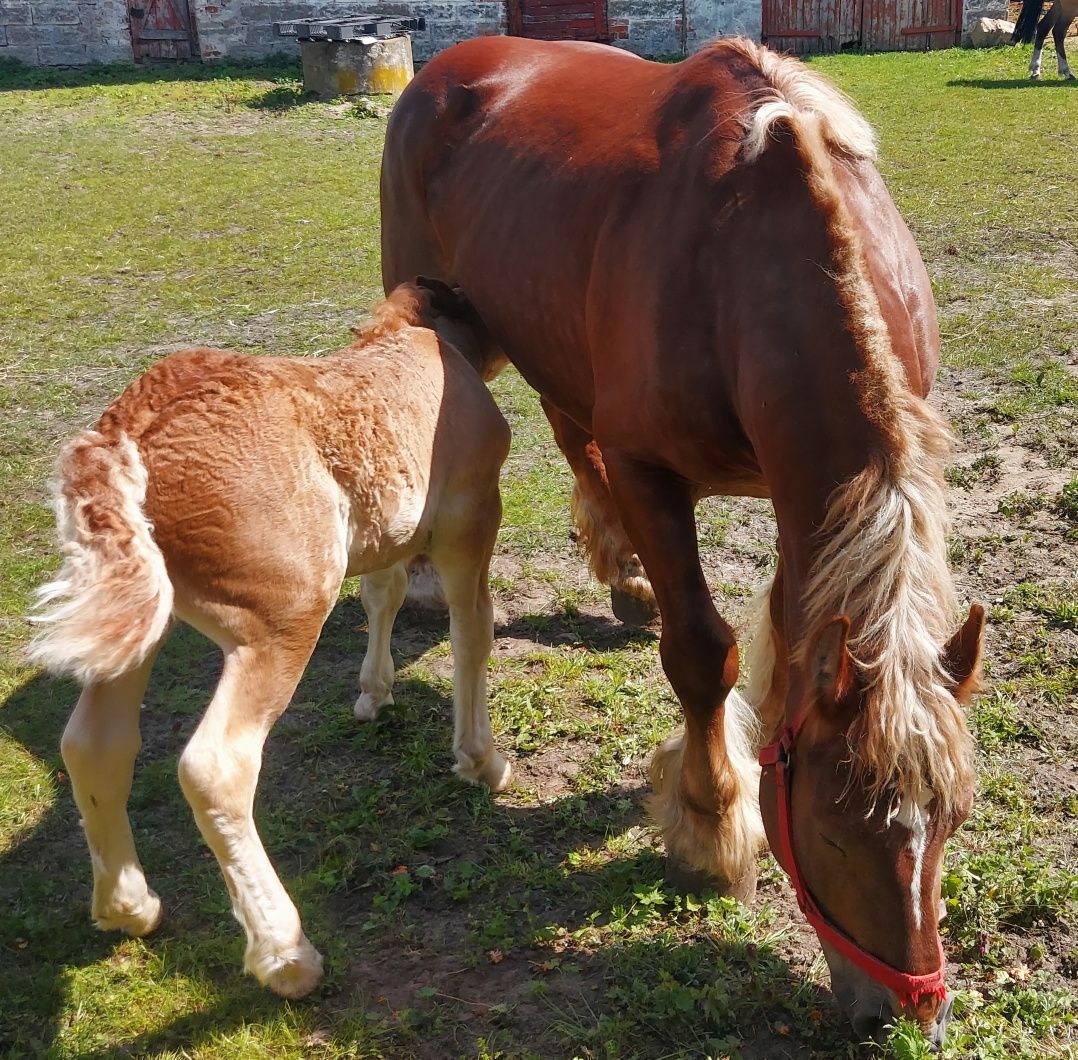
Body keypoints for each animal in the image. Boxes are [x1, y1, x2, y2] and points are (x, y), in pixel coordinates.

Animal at [27, 282, 510, 1005]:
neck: (416, 340)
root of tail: (128, 427)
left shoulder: (386, 534)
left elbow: (384, 591)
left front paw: (374, 694)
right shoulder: (467, 519)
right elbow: (471, 630)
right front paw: (481, 761)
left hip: (139, 619)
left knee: (94, 746)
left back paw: (128, 906)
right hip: (284, 617)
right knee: (215, 766)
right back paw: (286, 954)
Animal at [379, 37, 987, 1048]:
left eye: (953, 818)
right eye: (831, 827)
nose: (904, 1019)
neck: (746, 266)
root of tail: (446, 67)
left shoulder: (806, 508)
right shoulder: (651, 473)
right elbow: (704, 653)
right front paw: (710, 823)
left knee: (567, 427)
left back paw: (625, 583)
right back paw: (435, 581)